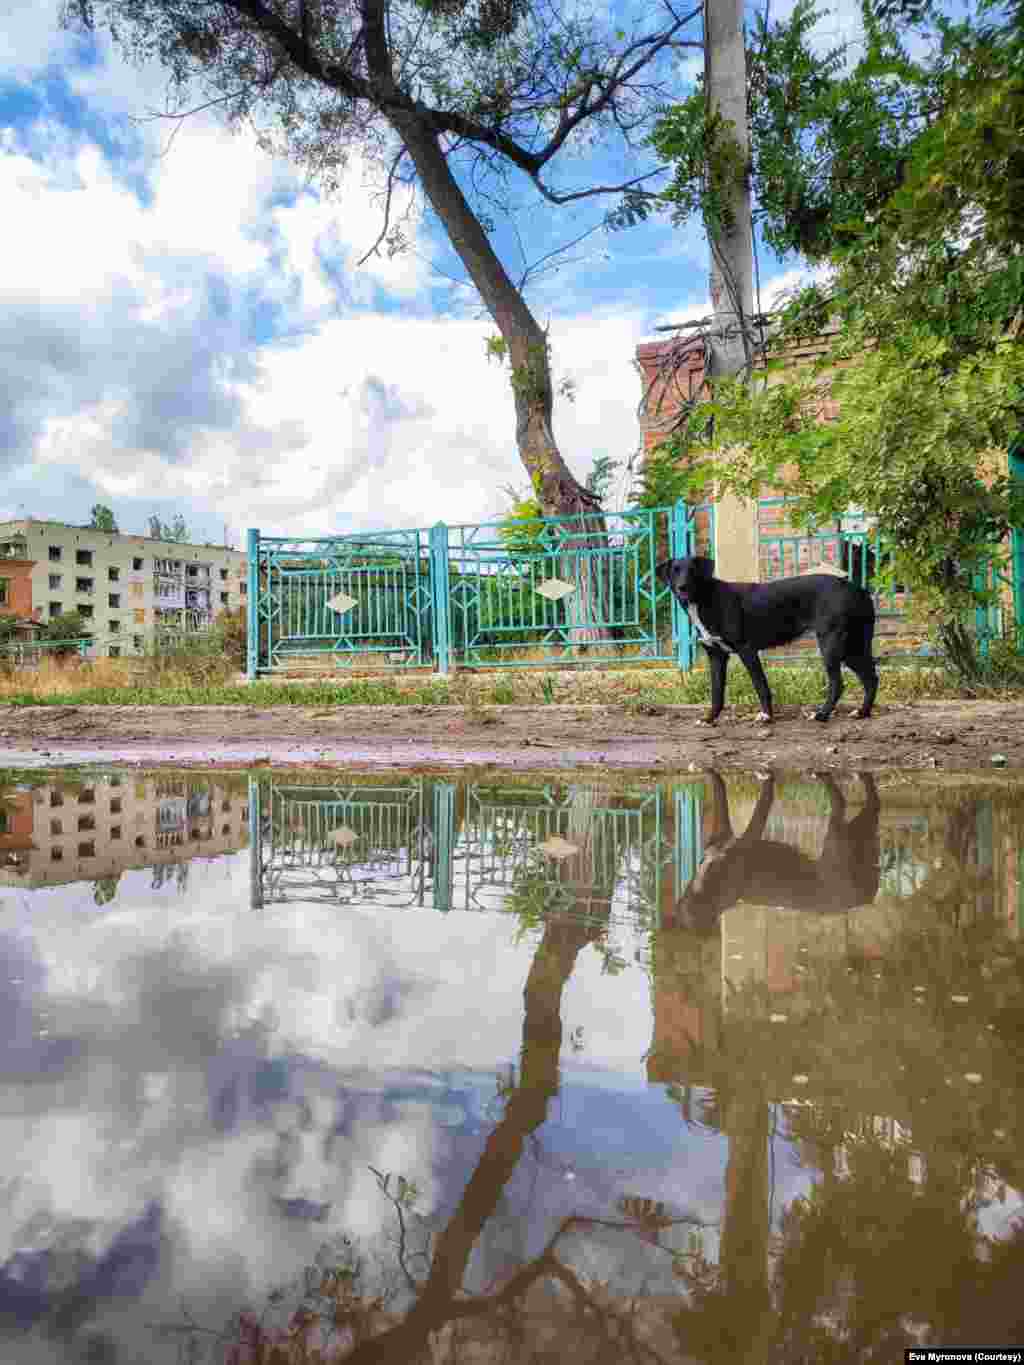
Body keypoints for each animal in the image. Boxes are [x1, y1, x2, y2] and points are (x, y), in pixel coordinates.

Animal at [660, 554, 879, 726]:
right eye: (675, 571)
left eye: (693, 570)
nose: (682, 587)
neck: (705, 600)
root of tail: (859, 591)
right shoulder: (716, 656)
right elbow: (716, 692)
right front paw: (709, 719)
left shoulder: (747, 650)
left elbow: (760, 685)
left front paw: (766, 716)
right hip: (853, 647)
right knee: (871, 679)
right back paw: (862, 712)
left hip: (831, 644)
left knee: (838, 683)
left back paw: (822, 714)